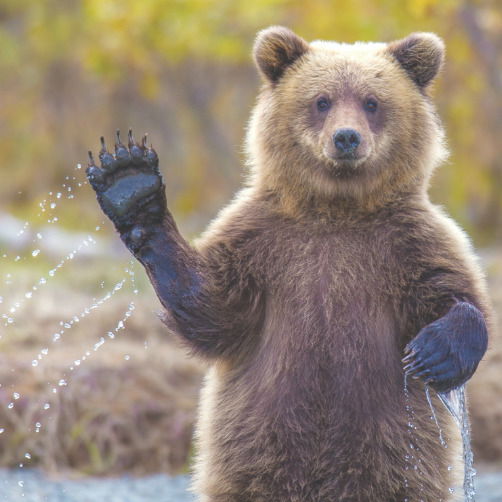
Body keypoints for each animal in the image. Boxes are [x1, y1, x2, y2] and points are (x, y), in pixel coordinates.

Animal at [85, 25, 490, 500]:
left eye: (372, 101)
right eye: (322, 100)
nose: (346, 138)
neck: (337, 209)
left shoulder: (408, 243)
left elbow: (454, 293)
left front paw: (434, 353)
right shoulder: (262, 241)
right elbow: (213, 308)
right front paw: (130, 183)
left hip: (397, 453)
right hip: (255, 448)